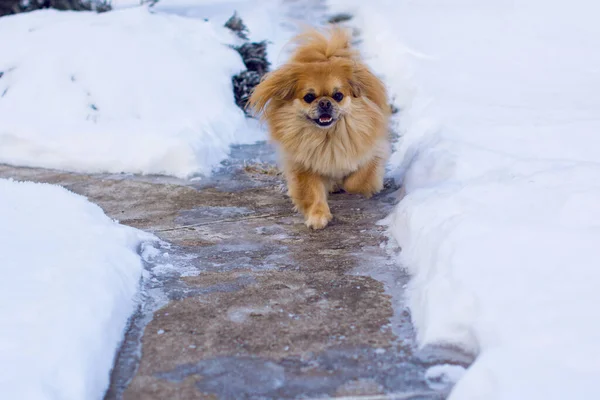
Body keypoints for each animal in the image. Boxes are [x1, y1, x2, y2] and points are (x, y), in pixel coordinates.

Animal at [247, 26, 390, 230]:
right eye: (309, 97)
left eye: (338, 96)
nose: (324, 103)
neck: (328, 136)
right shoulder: (305, 166)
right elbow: (312, 193)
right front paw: (318, 217)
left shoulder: (372, 154)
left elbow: (356, 182)